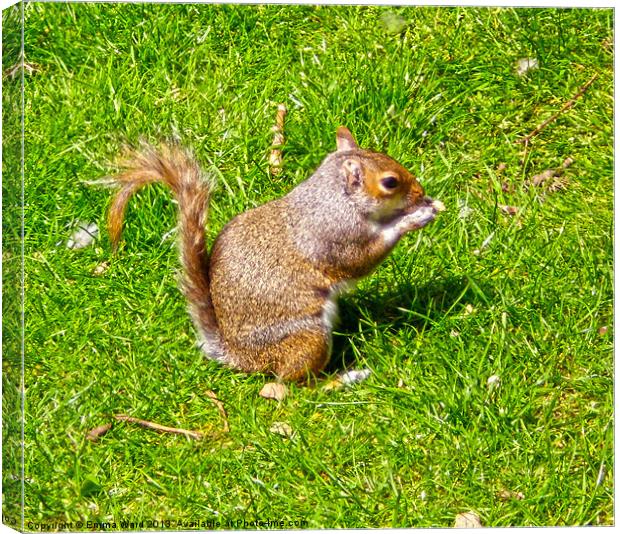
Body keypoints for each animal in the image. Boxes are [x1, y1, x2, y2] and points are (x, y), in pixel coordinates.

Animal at [108, 127, 446, 384]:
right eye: (390, 182)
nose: (420, 192)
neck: (335, 198)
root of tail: (239, 356)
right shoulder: (335, 238)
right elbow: (362, 259)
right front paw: (413, 219)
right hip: (308, 337)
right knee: (292, 383)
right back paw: (342, 380)